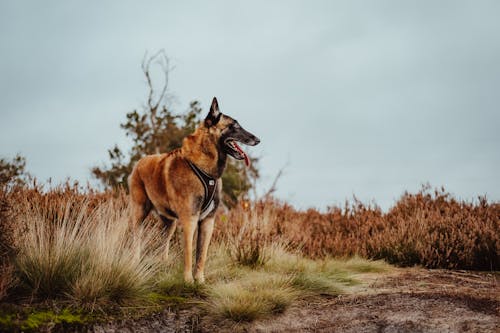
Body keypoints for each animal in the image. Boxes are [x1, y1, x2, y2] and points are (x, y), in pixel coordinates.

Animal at [127, 97, 260, 282]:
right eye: (234, 126)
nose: (258, 140)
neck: (205, 168)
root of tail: (139, 162)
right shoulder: (189, 220)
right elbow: (189, 253)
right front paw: (189, 281)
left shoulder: (207, 222)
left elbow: (201, 255)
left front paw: (200, 280)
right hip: (140, 213)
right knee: (136, 240)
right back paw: (135, 263)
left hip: (169, 223)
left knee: (163, 245)